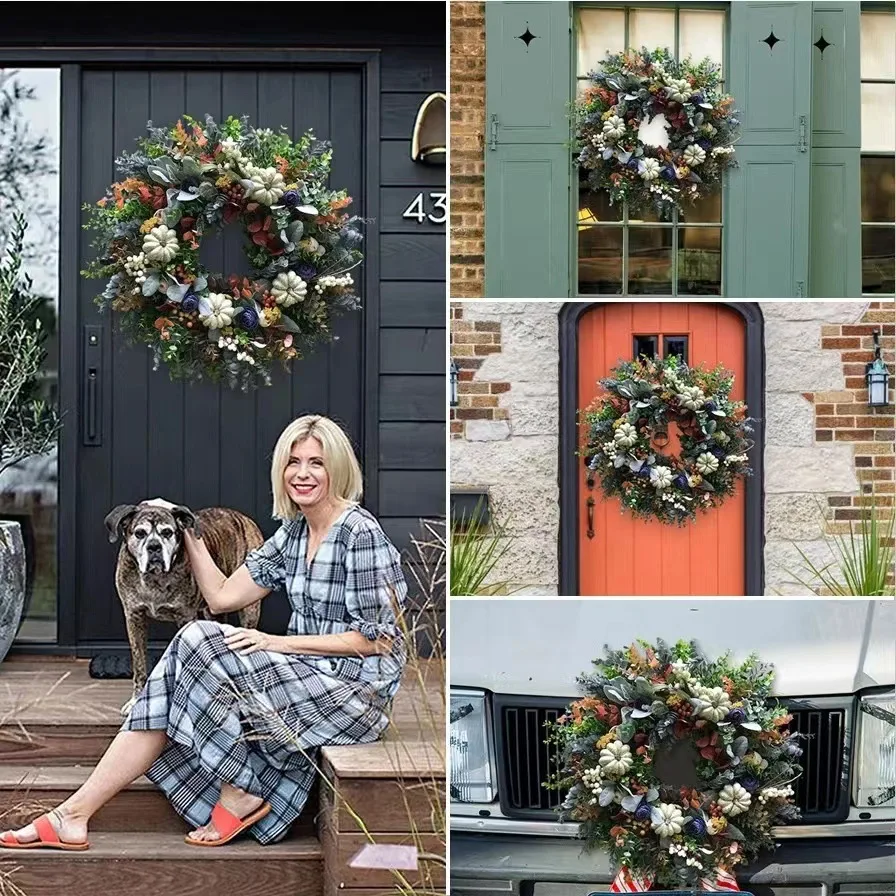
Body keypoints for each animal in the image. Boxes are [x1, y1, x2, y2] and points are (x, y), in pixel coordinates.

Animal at [105, 496, 264, 712]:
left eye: (167, 532)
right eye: (139, 533)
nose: (154, 546)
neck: (155, 579)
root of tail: (245, 519)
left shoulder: (185, 617)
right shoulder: (134, 617)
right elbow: (139, 664)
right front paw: (136, 701)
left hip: (249, 609)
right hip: (213, 610)